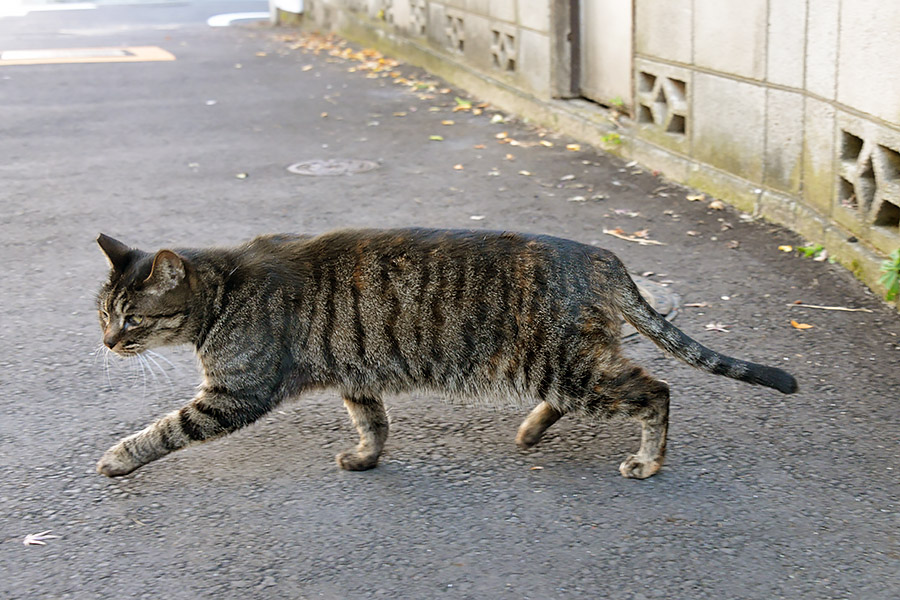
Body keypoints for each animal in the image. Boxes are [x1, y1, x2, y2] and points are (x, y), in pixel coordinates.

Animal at [91, 227, 796, 480]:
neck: (222, 295)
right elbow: (371, 420)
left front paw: (118, 458)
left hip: (562, 363)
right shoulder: (356, 372)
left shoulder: (233, 395)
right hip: (564, 365)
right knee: (590, 394)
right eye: (102, 313)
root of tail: (602, 254)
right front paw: (366, 457)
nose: (105, 342)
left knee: (655, 391)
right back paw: (531, 430)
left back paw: (648, 462)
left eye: (131, 318)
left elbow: (164, 429)